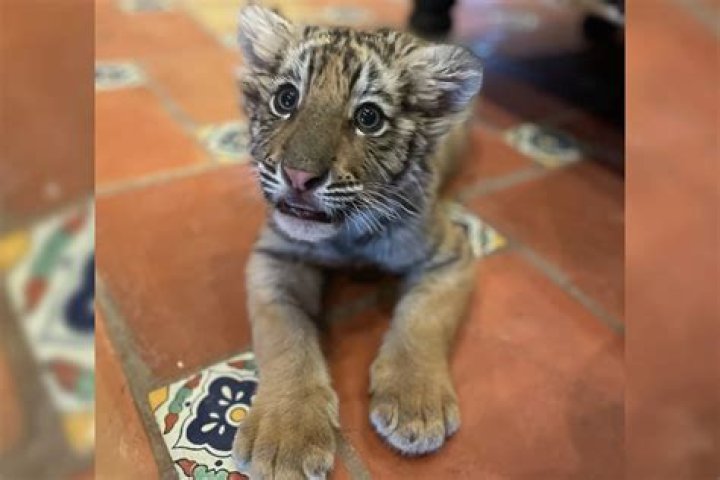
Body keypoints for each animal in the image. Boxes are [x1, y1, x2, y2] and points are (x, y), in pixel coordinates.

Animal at [233, 5, 483, 478]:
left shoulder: (450, 256)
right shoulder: (274, 257)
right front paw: (285, 437)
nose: (299, 177)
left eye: (369, 118)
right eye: (286, 99)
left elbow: (423, 318)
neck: (346, 234)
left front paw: (415, 404)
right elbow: (286, 336)